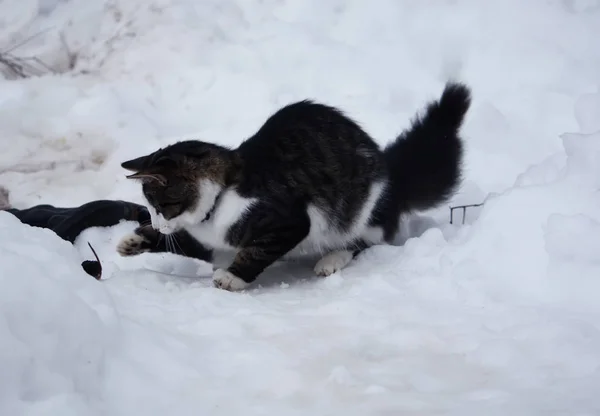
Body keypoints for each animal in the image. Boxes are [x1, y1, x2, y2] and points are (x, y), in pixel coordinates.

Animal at [118, 80, 474, 290]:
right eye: (150, 208)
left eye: (160, 205)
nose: (156, 223)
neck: (219, 200)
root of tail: (393, 175)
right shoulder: (210, 241)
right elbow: (186, 242)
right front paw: (132, 241)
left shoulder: (289, 220)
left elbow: (256, 251)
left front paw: (232, 276)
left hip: (363, 212)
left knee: (365, 241)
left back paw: (331, 260)